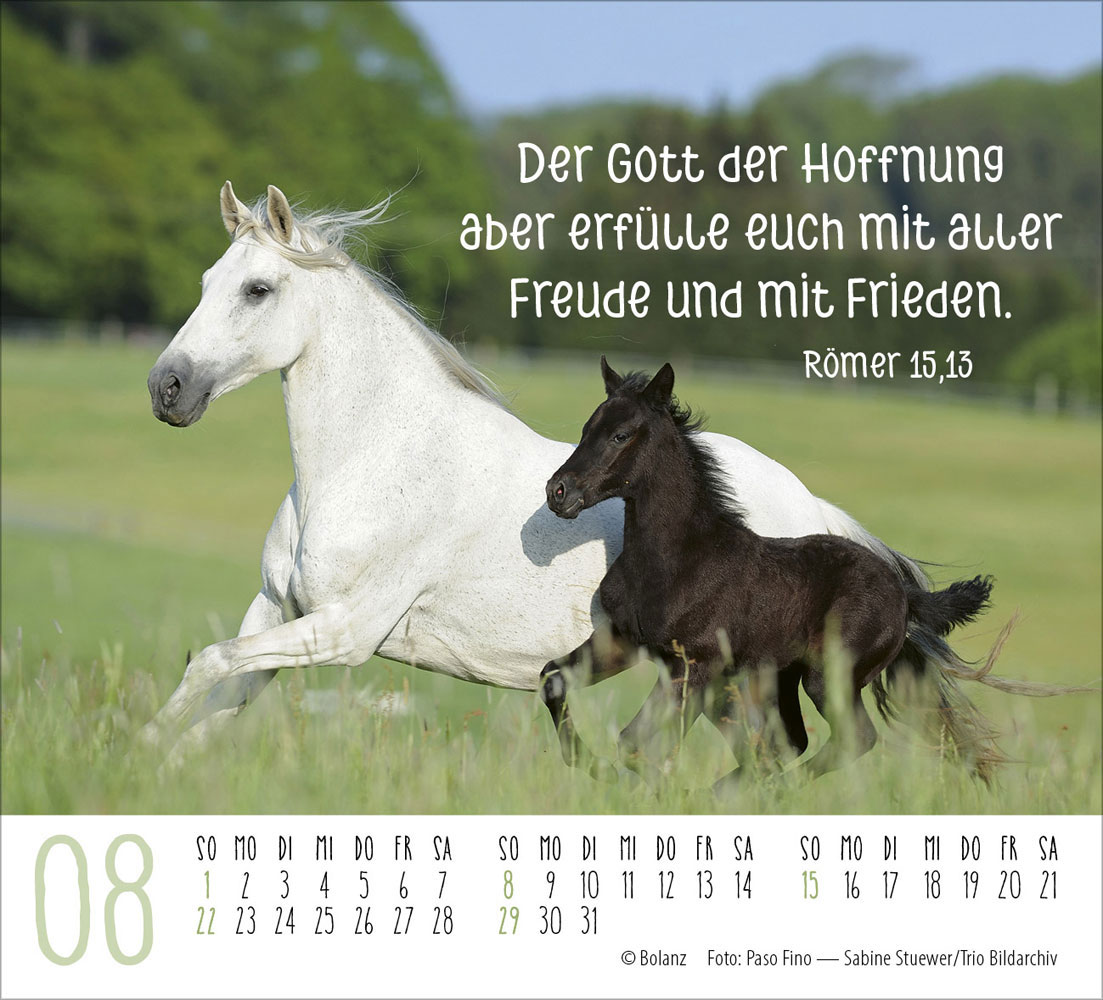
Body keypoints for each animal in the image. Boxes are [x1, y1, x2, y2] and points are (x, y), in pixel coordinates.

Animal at [135, 182, 956, 760]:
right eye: (207, 280)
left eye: (258, 290)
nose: (165, 388)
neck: (373, 460)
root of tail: (821, 519)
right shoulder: (276, 612)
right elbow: (212, 695)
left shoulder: (345, 632)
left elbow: (207, 664)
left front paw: (133, 747)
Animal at [541, 358, 1059, 784]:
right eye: (587, 427)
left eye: (621, 435)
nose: (558, 491)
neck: (678, 559)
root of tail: (905, 594)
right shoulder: (624, 642)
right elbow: (554, 680)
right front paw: (586, 764)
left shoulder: (695, 666)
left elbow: (637, 743)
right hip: (782, 676)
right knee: (785, 743)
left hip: (827, 677)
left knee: (850, 739)